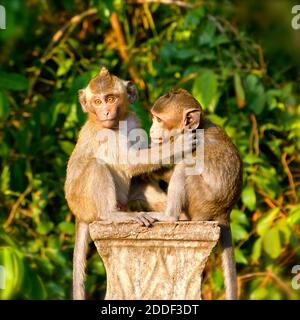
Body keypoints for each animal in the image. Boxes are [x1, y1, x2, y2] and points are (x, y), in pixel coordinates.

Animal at [64, 68, 195, 300]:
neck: (116, 125)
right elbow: (130, 162)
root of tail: (78, 214)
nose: (106, 112)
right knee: (96, 166)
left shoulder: (133, 119)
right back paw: (113, 215)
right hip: (84, 202)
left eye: (110, 99)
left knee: (141, 183)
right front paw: (178, 145)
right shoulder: (105, 133)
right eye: (97, 101)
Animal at [149, 89, 243, 298]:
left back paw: (170, 217)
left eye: (159, 120)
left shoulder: (187, 145)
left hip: (203, 202)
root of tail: (224, 212)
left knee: (185, 169)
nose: (151, 130)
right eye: (153, 118)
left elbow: (176, 167)